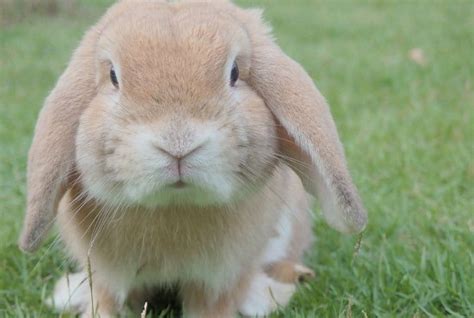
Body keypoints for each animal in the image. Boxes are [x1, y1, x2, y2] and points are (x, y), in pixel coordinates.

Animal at [18, 1, 366, 316]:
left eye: (234, 72)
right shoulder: (105, 275)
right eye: (114, 76)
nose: (178, 143)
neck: (174, 206)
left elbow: (212, 306)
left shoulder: (220, 279)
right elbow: (106, 303)